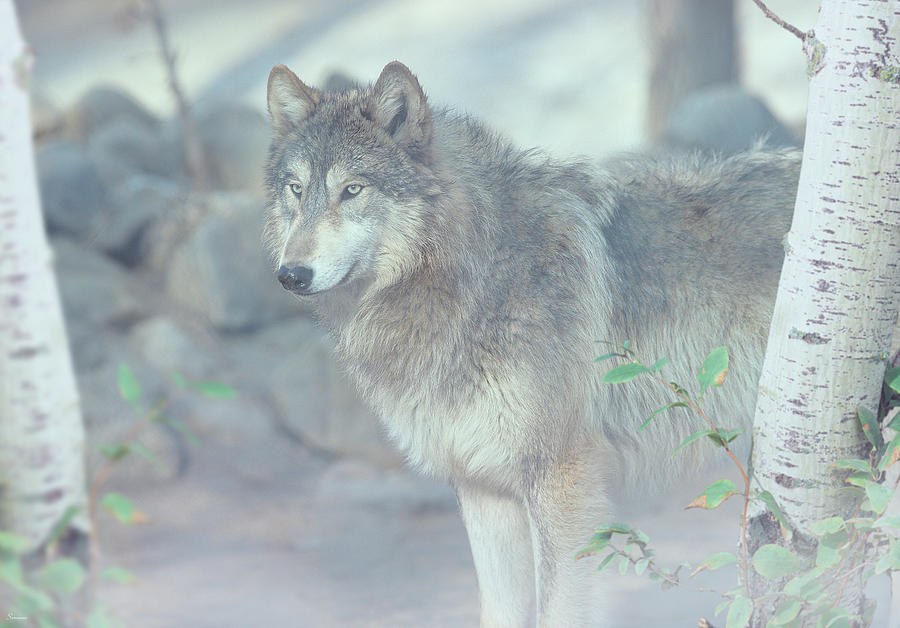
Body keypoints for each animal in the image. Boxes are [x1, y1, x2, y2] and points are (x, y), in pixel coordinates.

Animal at [262, 60, 800, 628]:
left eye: (352, 189)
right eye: (296, 189)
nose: (291, 274)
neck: (476, 273)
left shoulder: (562, 480)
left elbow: (559, 608)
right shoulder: (483, 488)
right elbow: (498, 609)